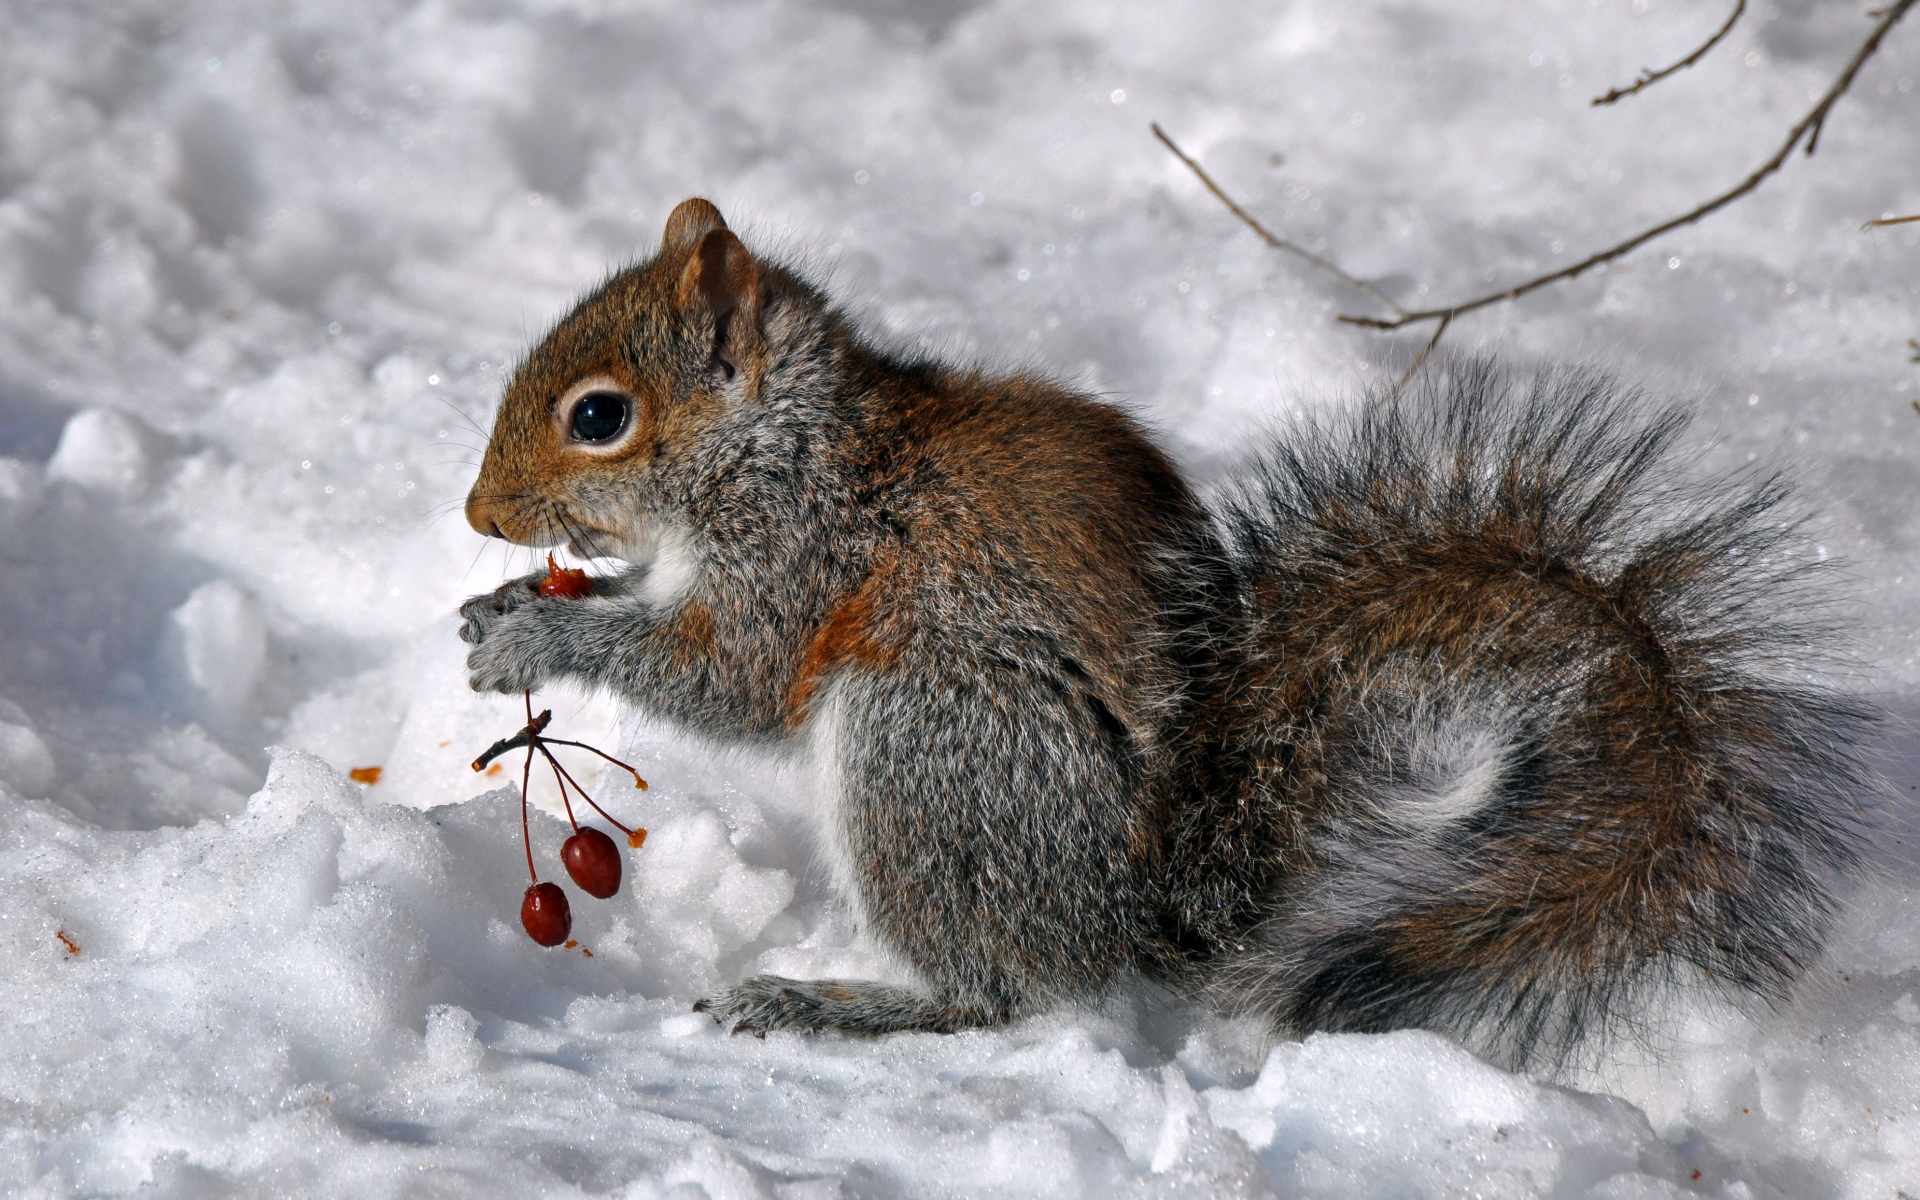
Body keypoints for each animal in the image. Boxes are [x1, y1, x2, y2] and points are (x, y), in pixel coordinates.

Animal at [459, 198, 1876, 1069]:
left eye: (599, 417)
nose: (478, 516)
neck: (782, 443)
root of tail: (1144, 906)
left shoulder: (805, 558)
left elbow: (731, 675)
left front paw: (537, 643)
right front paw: (503, 610)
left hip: (931, 743)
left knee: (1002, 992)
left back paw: (831, 1002)